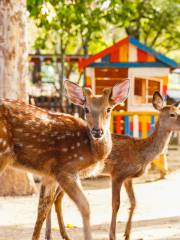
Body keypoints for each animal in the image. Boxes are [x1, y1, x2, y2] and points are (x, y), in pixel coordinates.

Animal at [0, 79, 130, 240]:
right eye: (86, 109)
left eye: (109, 109)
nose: (97, 131)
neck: (90, 151)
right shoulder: (64, 169)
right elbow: (85, 206)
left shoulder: (49, 175)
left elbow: (42, 209)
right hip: (2, 152)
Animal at [44, 90, 180, 240]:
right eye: (172, 114)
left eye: (178, 111)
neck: (141, 153)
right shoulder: (118, 173)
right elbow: (116, 204)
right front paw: (112, 235)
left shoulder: (128, 177)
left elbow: (134, 202)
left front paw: (127, 234)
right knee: (52, 198)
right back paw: (51, 234)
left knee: (56, 199)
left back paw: (62, 234)